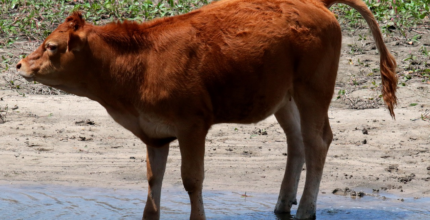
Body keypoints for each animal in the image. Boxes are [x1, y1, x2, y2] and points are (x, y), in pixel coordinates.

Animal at [16, 0, 396, 218]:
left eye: (52, 46)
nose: (19, 64)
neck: (141, 62)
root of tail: (313, 4)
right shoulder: (154, 134)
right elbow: (154, 180)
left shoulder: (192, 127)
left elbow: (191, 180)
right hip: (284, 97)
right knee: (298, 142)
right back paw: (283, 204)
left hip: (313, 90)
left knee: (318, 142)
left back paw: (304, 210)